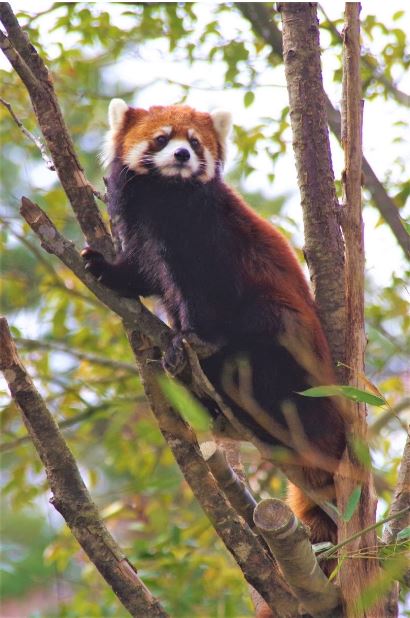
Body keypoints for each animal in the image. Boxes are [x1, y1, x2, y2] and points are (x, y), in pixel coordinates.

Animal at [82, 98, 346, 556]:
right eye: (162, 138)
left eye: (194, 142)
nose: (182, 156)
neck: (164, 199)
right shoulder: (140, 228)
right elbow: (145, 273)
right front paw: (106, 269)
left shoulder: (212, 239)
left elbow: (205, 298)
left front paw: (190, 338)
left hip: (284, 336)